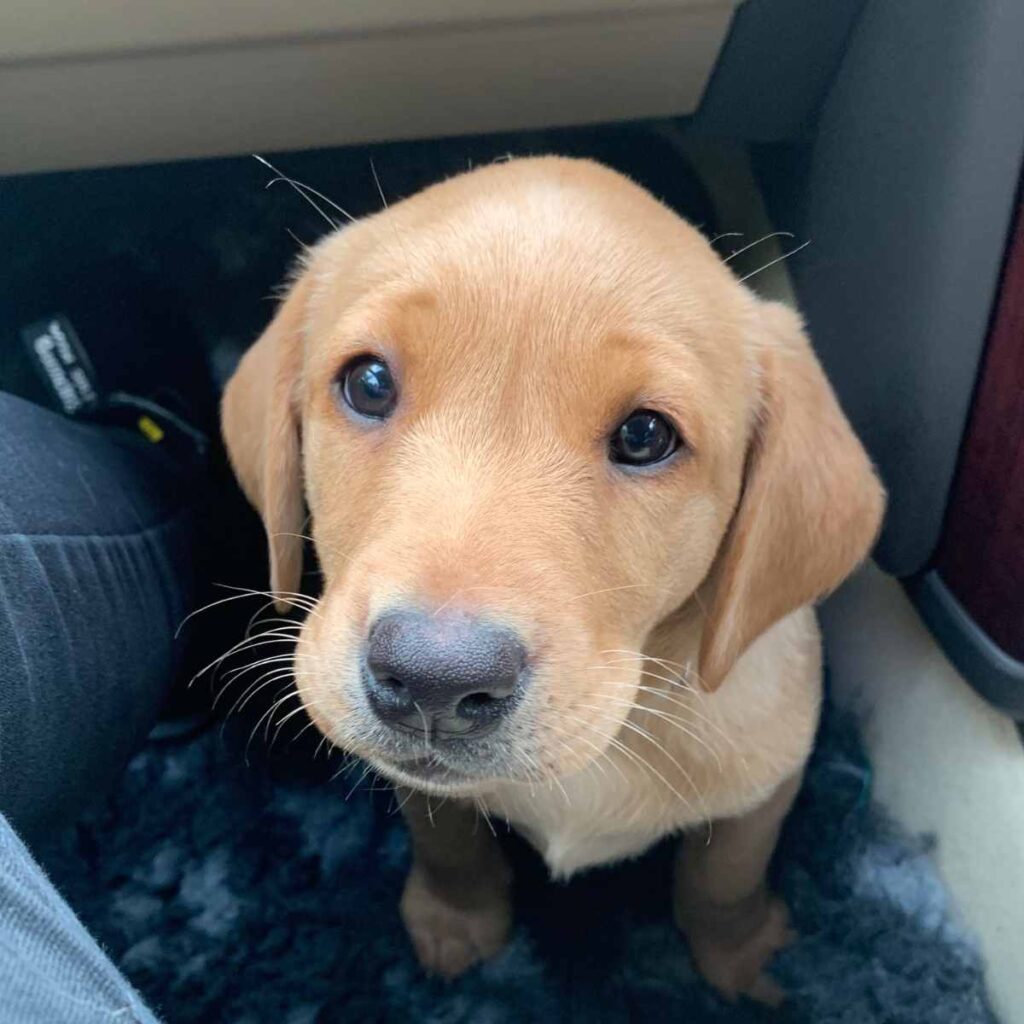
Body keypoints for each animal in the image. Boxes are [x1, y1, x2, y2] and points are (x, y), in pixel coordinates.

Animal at [226, 155, 888, 1003]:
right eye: (369, 384)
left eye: (645, 436)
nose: (433, 679)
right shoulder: (422, 784)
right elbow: (448, 839)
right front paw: (456, 921)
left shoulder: (767, 779)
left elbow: (724, 878)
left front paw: (742, 961)